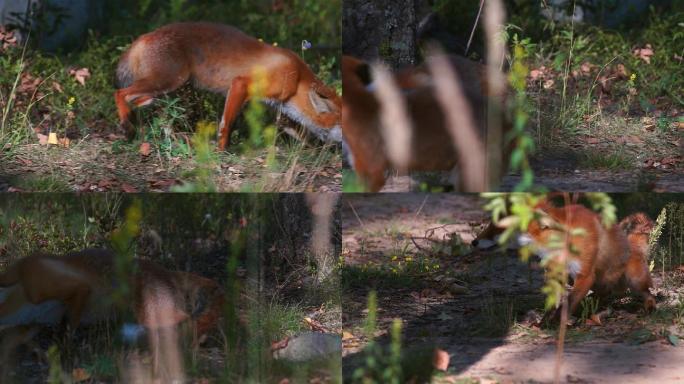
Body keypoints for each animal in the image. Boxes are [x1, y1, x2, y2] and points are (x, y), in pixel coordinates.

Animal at [117, 20, 344, 150]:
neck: (297, 78)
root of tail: (145, 36)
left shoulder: (280, 108)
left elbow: (303, 136)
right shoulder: (240, 85)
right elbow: (227, 125)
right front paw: (222, 151)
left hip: (164, 87)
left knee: (139, 101)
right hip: (169, 79)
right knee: (120, 93)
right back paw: (127, 126)